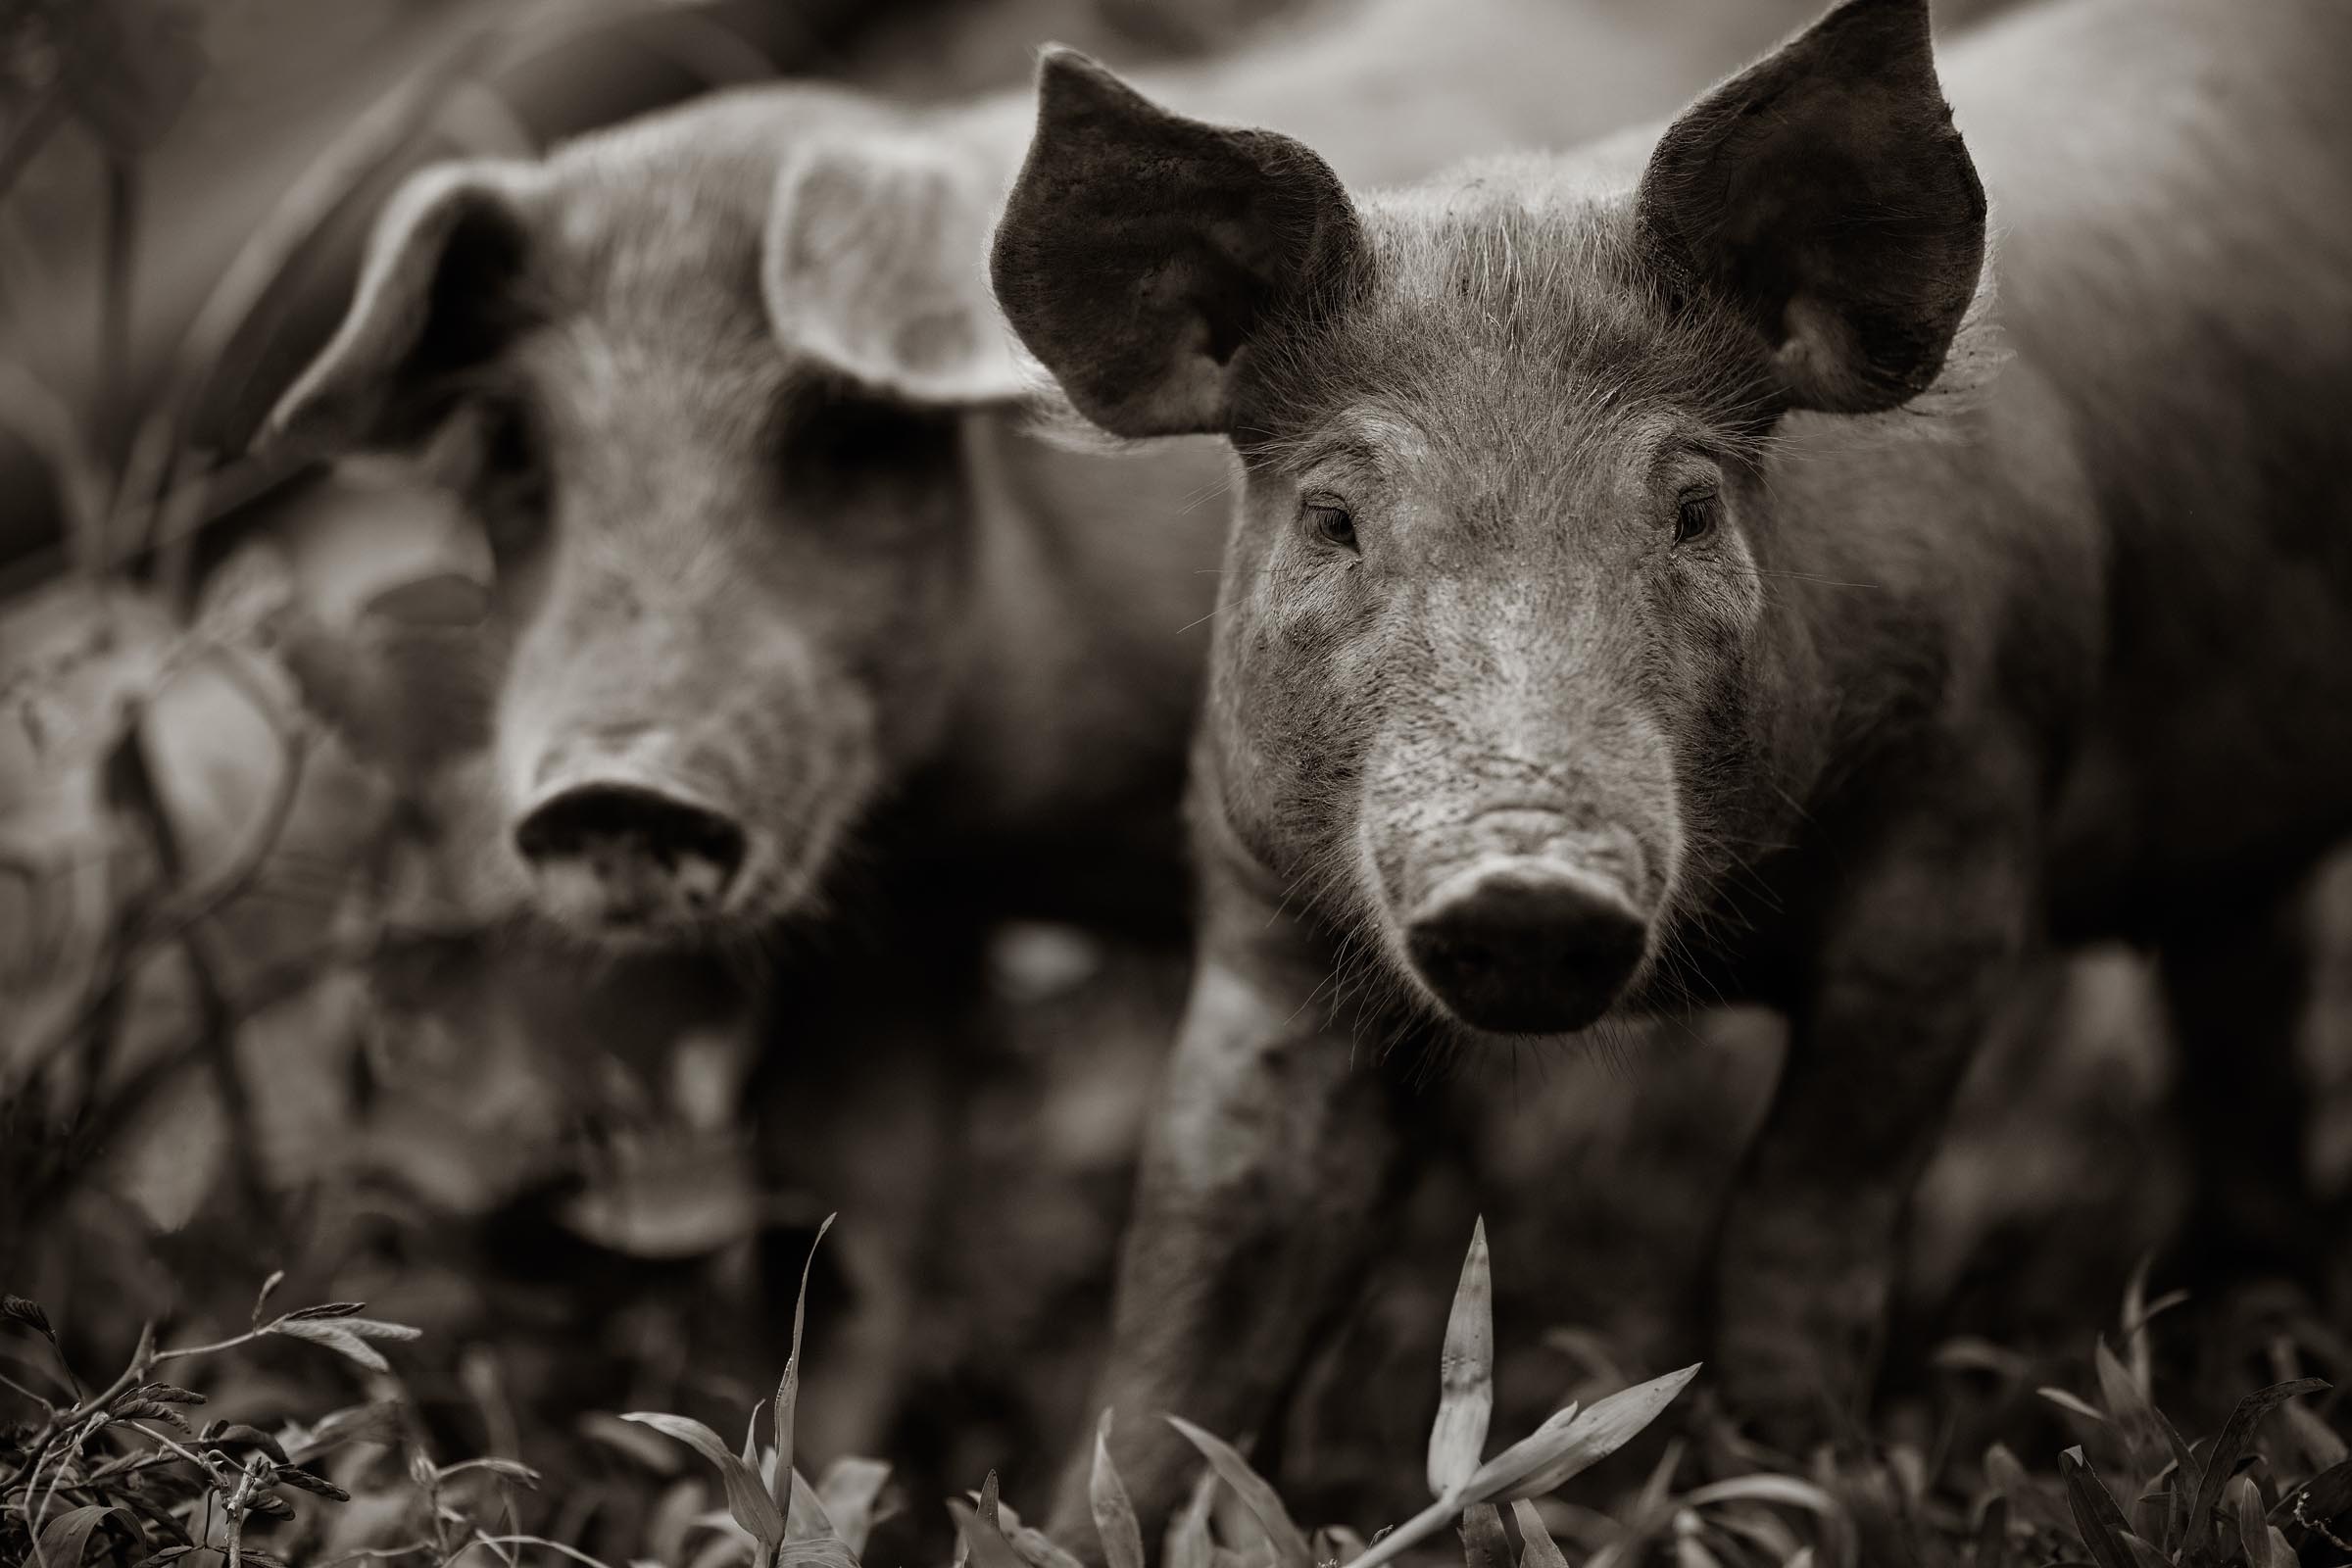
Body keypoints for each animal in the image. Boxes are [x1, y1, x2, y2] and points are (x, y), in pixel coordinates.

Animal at [988, 0, 2352, 1533]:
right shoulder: (1261, 900)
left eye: (1691, 507)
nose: (1526, 882)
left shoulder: (1961, 830)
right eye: (1334, 518)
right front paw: (1079, 1518)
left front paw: (1783, 1499)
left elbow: (1803, 1219)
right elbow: (1206, 1257)